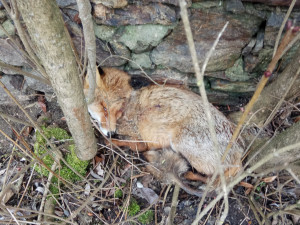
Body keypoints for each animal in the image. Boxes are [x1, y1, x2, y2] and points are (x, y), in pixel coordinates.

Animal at [83, 66, 245, 190]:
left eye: (118, 110)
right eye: (104, 107)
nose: (111, 133)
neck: (129, 106)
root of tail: (238, 149)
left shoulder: (140, 139)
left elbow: (131, 144)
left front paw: (109, 141)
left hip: (181, 144)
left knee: (219, 177)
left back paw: (190, 175)